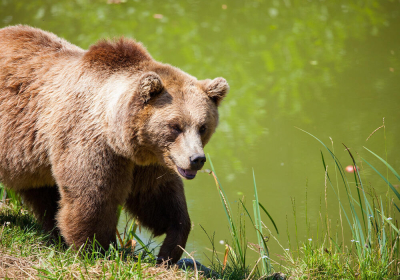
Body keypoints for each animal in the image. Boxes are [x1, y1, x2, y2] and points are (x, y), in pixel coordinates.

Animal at [0, 25, 228, 264]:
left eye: (202, 126)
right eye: (175, 126)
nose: (196, 159)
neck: (120, 138)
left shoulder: (149, 161)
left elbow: (158, 198)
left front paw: (170, 249)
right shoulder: (91, 143)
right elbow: (93, 197)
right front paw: (94, 248)